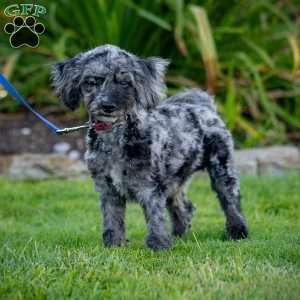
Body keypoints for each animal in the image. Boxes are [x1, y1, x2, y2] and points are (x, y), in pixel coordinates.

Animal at [52, 45, 248, 251]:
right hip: (175, 179)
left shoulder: (149, 185)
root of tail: (204, 105)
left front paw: (159, 245)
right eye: (92, 81)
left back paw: (238, 232)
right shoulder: (107, 188)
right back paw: (179, 233)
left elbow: (155, 217)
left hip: (222, 168)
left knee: (230, 200)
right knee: (184, 206)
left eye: (125, 82)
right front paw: (114, 245)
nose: (107, 106)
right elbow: (112, 219)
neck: (116, 137)